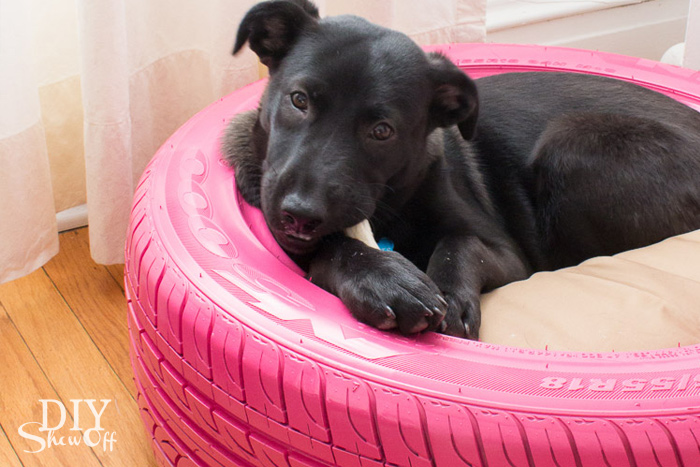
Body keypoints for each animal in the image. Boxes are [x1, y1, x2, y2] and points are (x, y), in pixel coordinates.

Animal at [223, 1, 700, 342]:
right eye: (299, 100)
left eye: (382, 131)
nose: (299, 215)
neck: (392, 204)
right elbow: (332, 248)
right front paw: (385, 279)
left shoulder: (509, 253)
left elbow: (461, 244)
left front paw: (450, 296)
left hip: (573, 143)